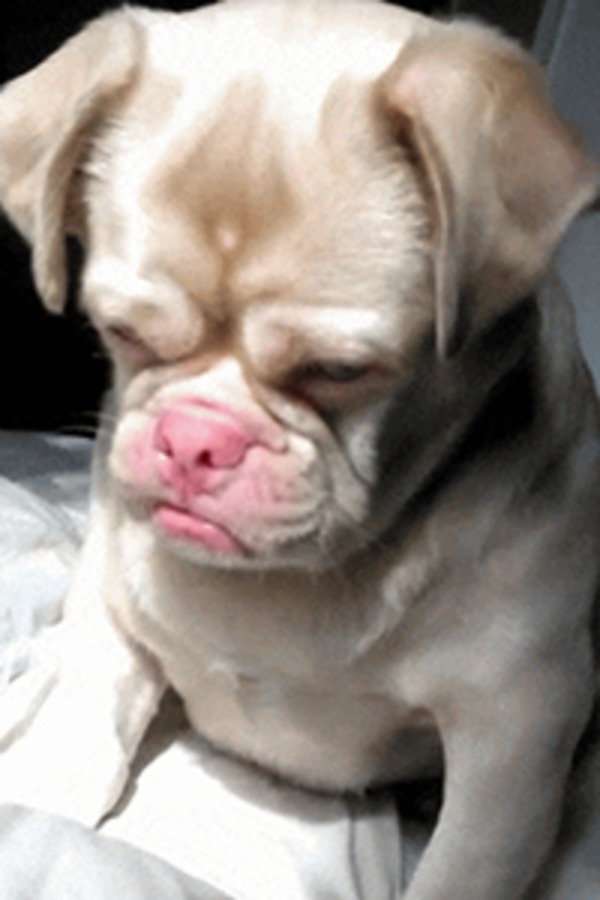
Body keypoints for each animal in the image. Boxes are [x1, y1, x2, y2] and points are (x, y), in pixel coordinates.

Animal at [0, 1, 598, 897]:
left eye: (338, 371)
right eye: (121, 332)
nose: (196, 441)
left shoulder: (511, 749)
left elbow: (456, 872)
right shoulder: (111, 626)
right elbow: (77, 744)